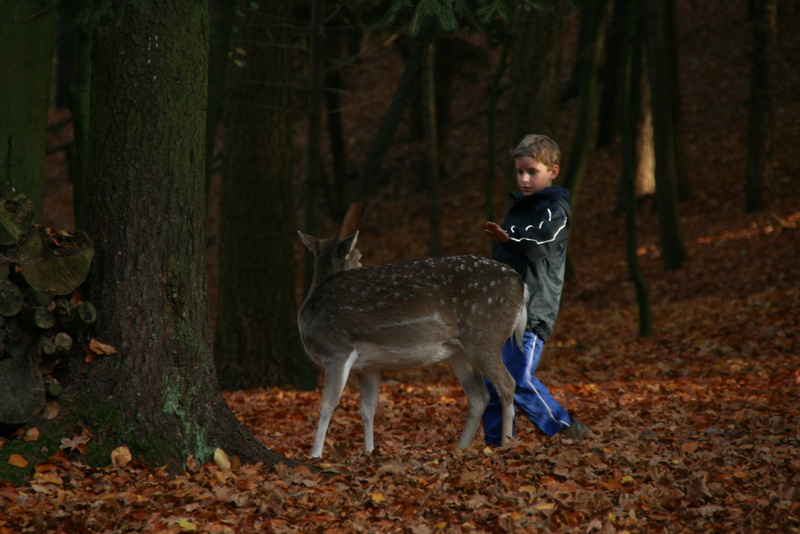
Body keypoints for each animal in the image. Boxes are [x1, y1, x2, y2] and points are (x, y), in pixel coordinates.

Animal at [297, 231, 526, 458]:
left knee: (507, 384)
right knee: (479, 396)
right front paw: (369, 451)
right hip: (460, 352)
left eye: (360, 257)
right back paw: (460, 448)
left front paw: (315, 455)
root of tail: (521, 285)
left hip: (485, 336)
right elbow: (367, 409)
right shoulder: (367, 366)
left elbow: (327, 405)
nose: (362, 262)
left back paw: (506, 443)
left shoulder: (336, 349)